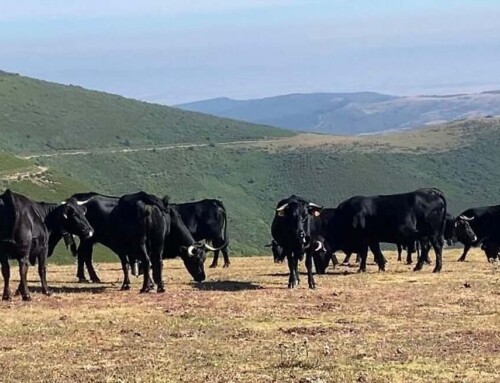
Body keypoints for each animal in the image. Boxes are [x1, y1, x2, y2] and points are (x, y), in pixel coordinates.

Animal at [318, 188, 448, 274]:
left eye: (319, 252)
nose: (319, 270)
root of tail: (432, 191)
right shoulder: (372, 239)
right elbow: (376, 252)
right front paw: (381, 266)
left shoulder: (364, 239)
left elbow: (365, 253)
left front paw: (362, 268)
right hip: (426, 234)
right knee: (427, 247)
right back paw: (419, 267)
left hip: (431, 232)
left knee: (435, 246)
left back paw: (436, 268)